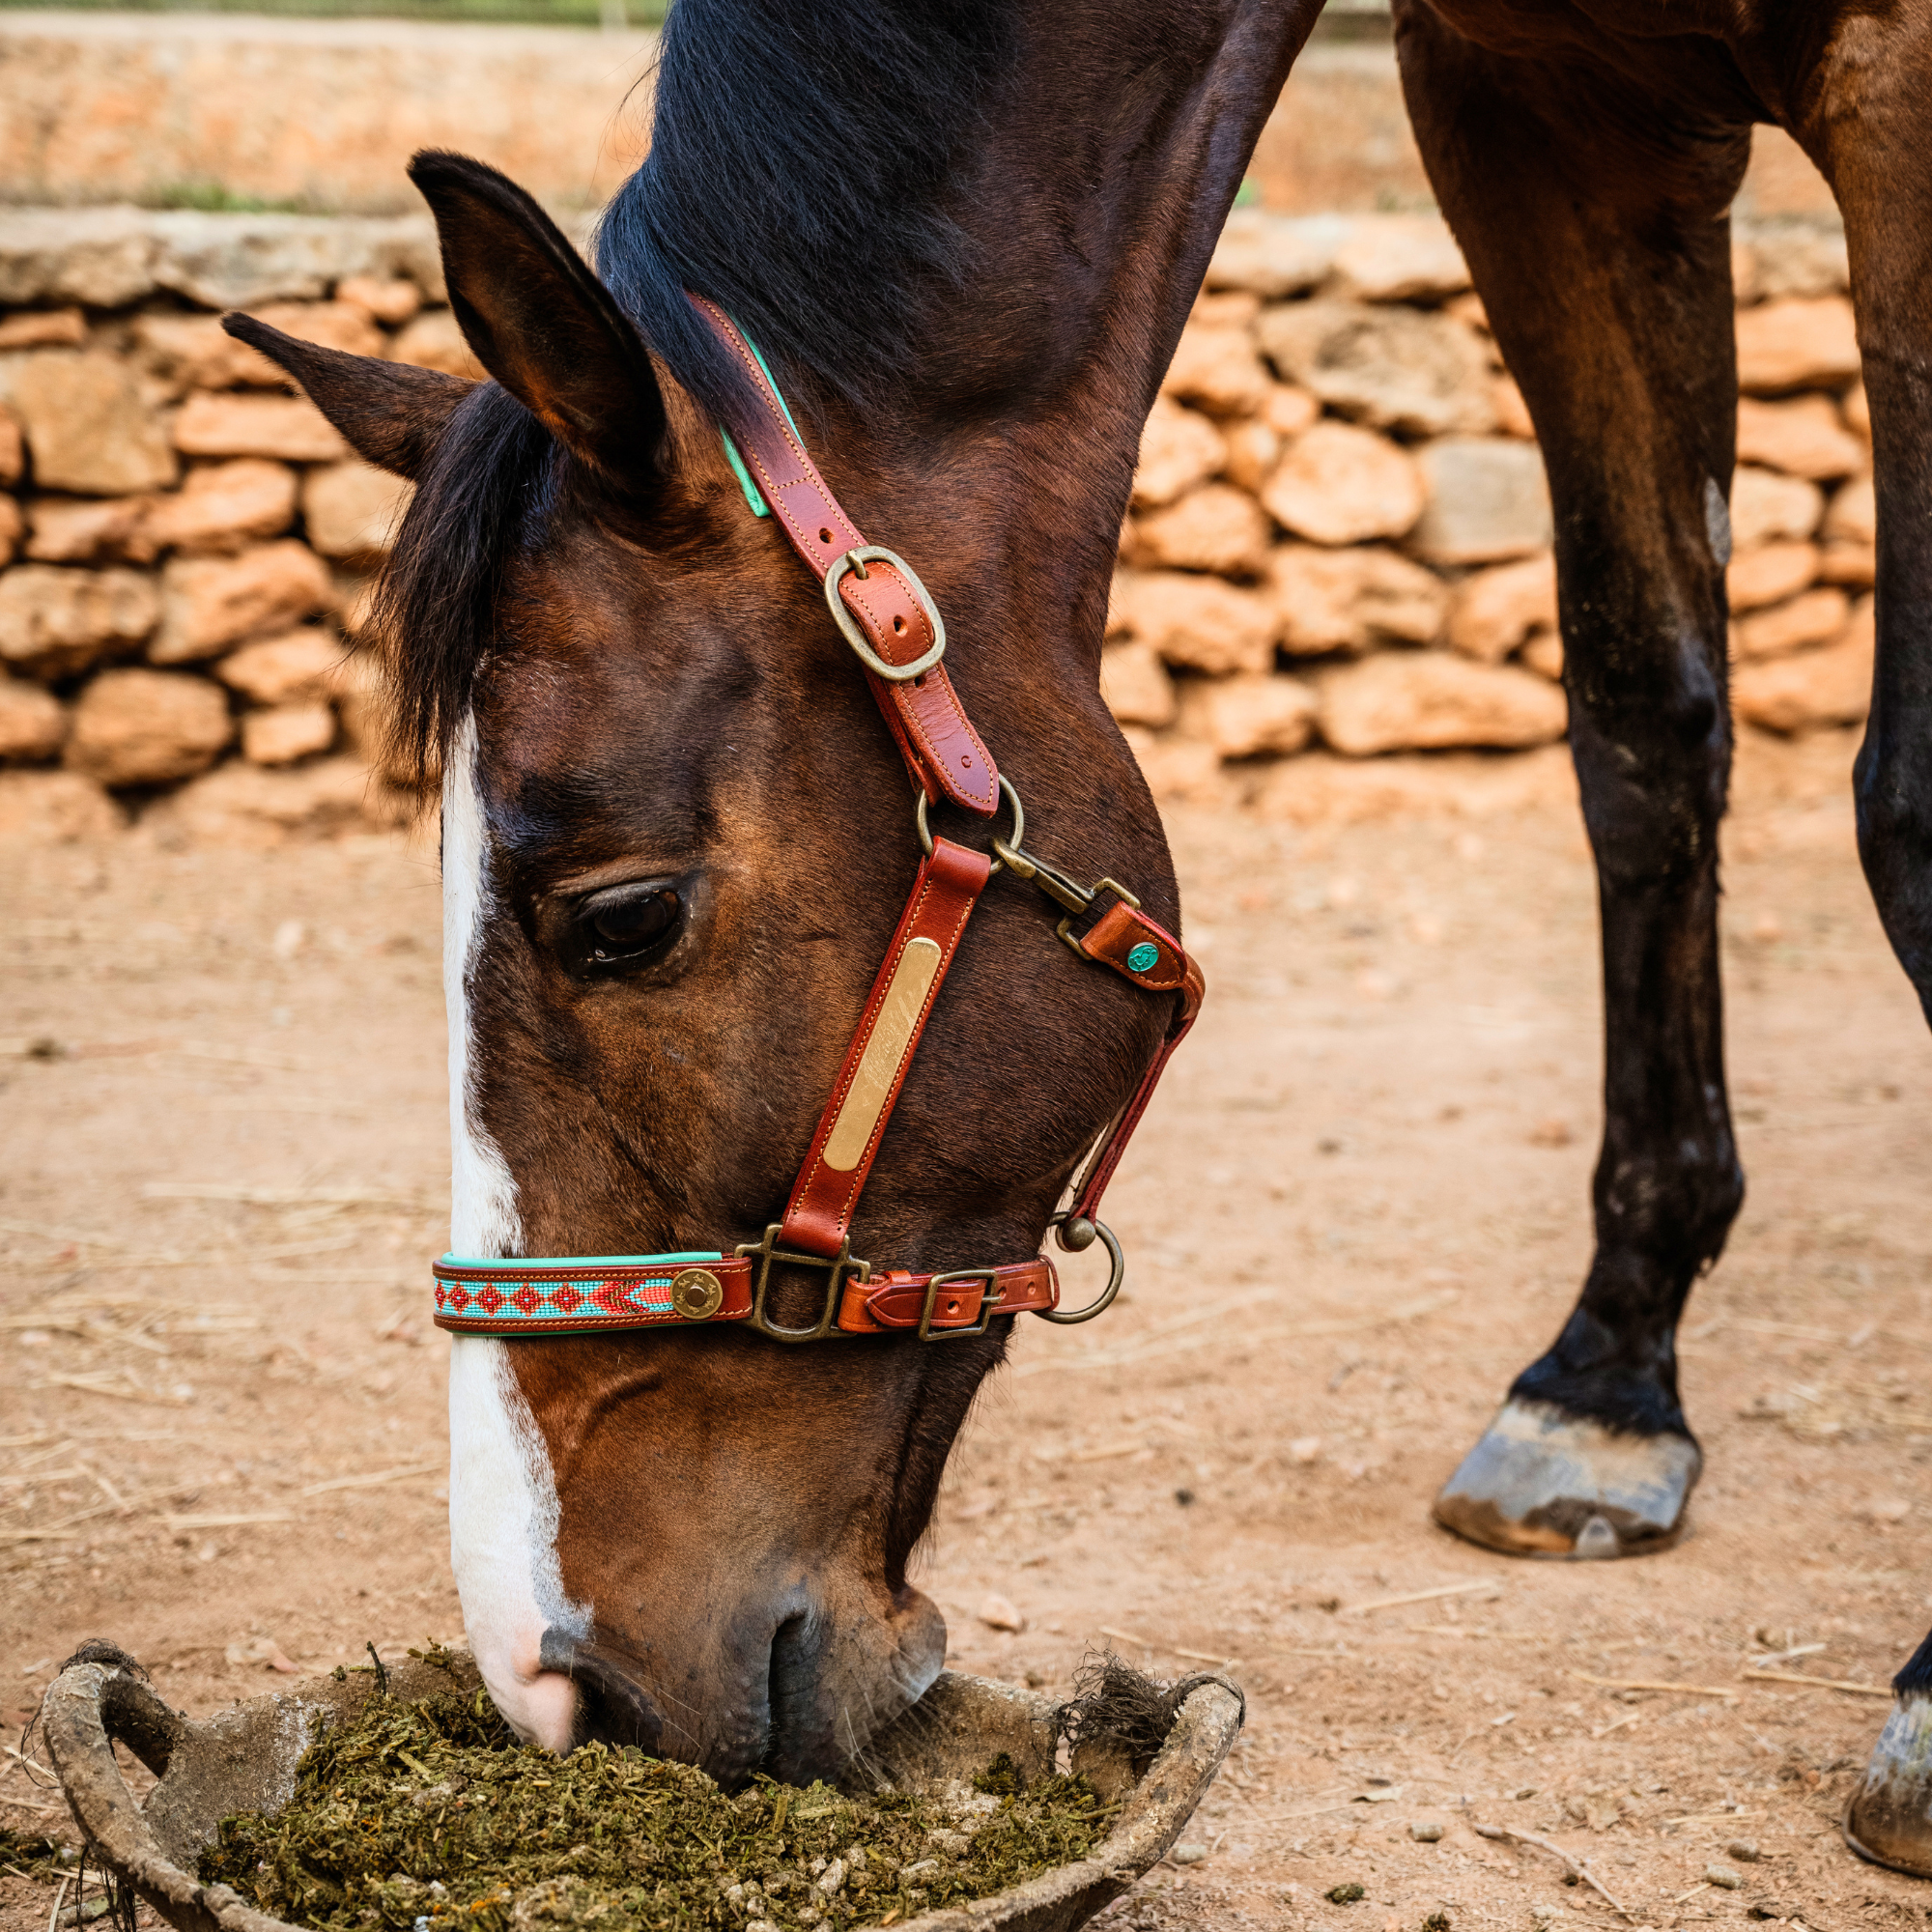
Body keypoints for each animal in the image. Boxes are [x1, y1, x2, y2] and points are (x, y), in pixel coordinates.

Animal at [225, 0, 1932, 1873]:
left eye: (620, 921)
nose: (553, 1683)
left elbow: (1910, 815)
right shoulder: (1541, 115)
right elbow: (1641, 727)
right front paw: (1606, 1385)